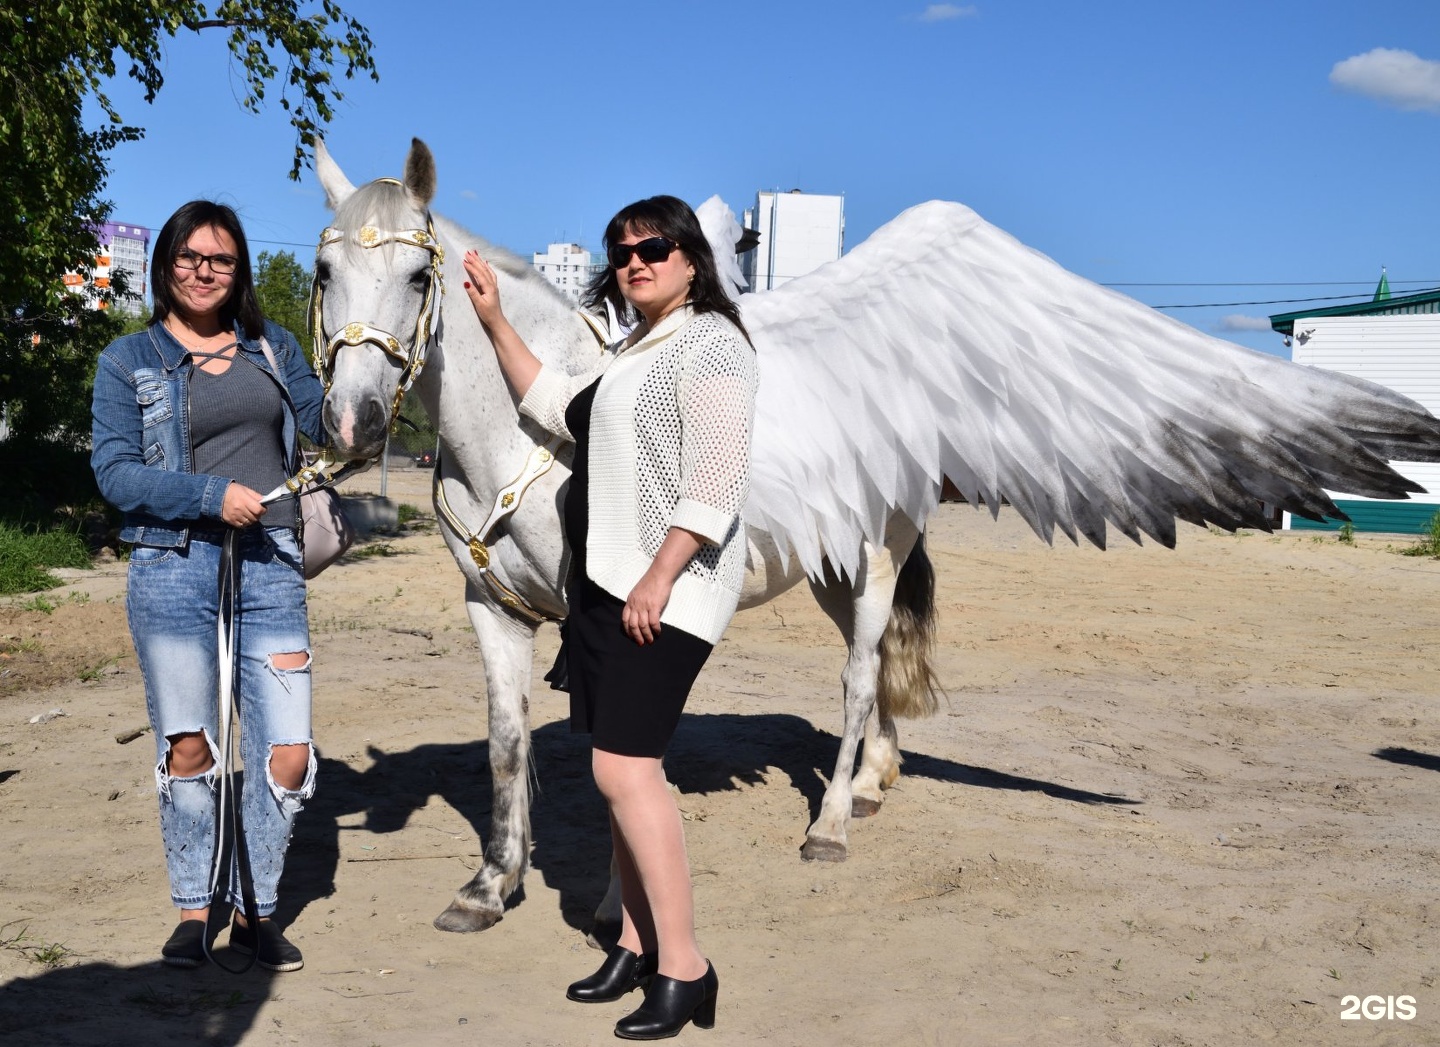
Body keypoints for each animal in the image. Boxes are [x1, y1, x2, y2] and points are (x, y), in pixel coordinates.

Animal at [309, 137, 1440, 933]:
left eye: (418, 280)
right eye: (322, 276)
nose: (353, 424)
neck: (539, 432)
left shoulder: (603, 623)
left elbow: (612, 759)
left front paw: (607, 907)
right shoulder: (492, 609)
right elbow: (506, 746)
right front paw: (490, 886)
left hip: (880, 553)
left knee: (858, 678)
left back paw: (834, 824)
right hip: (832, 567)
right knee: (874, 674)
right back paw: (873, 781)